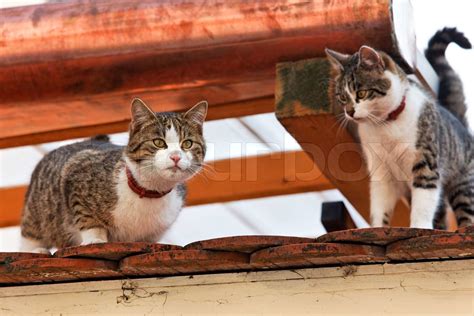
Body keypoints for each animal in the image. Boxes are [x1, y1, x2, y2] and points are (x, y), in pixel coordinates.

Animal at [326, 28, 474, 228]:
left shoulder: (425, 161)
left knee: (467, 213)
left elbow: (423, 201)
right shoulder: (381, 172)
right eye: (342, 97)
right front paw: (378, 227)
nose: (349, 112)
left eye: (361, 93)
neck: (385, 125)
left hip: (464, 186)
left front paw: (419, 227)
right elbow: (380, 206)